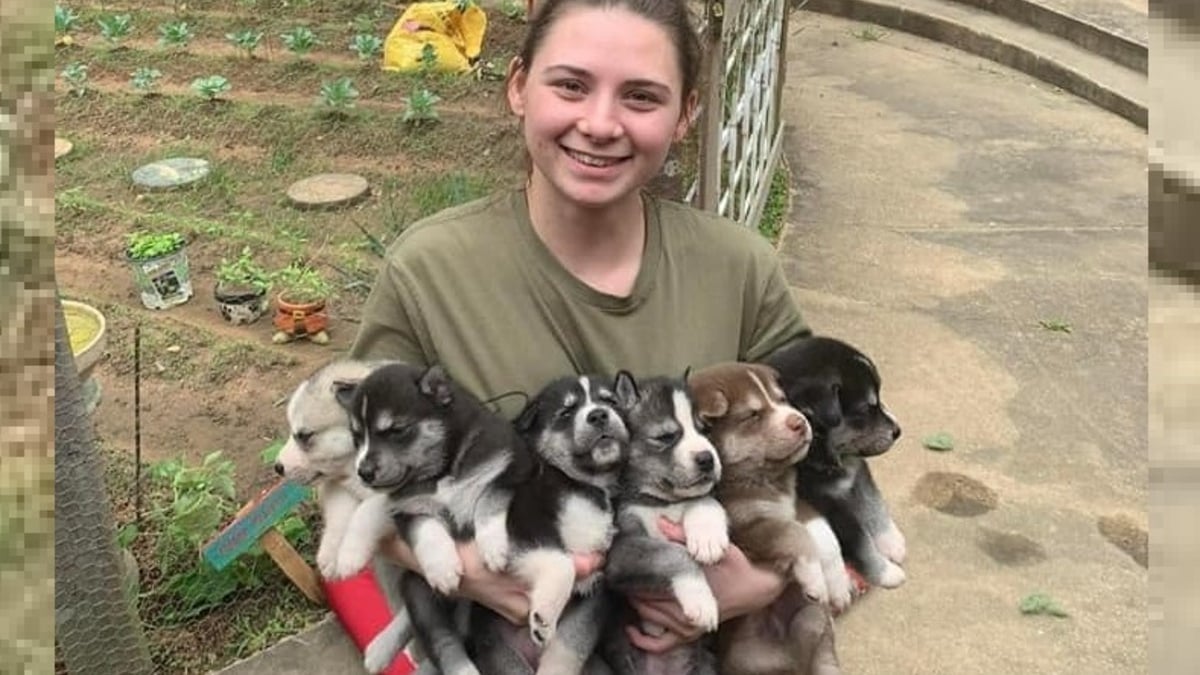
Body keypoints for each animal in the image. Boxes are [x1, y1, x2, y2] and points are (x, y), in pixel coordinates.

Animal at [338, 362, 535, 675]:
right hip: (419, 593)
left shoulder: (509, 471)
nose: (364, 472)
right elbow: (427, 533)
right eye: (357, 439)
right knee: (442, 639)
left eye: (396, 430)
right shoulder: (409, 510)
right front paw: (443, 568)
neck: (440, 472)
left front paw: (494, 548)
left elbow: (487, 504)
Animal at [470, 372, 638, 672]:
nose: (599, 415)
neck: (588, 484)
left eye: (611, 401)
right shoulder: (524, 524)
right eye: (566, 412)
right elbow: (562, 564)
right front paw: (544, 617)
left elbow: (570, 644)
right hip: (500, 653)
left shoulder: (594, 593)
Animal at [600, 369, 729, 672]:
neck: (665, 502)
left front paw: (708, 538)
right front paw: (701, 599)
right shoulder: (621, 553)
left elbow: (705, 500)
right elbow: (673, 553)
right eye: (666, 437)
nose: (708, 459)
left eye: (704, 430)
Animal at [691, 362, 849, 672]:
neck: (765, 479)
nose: (801, 422)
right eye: (753, 415)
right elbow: (792, 532)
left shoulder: (797, 502)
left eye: (782, 399)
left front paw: (838, 584)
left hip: (815, 629)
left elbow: (822, 533)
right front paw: (814, 579)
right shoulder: (746, 528)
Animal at [763, 333, 902, 586]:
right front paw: (885, 572)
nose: (898, 431)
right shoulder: (828, 503)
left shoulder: (858, 469)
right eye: (865, 409)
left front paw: (891, 540)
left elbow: (873, 501)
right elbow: (859, 539)